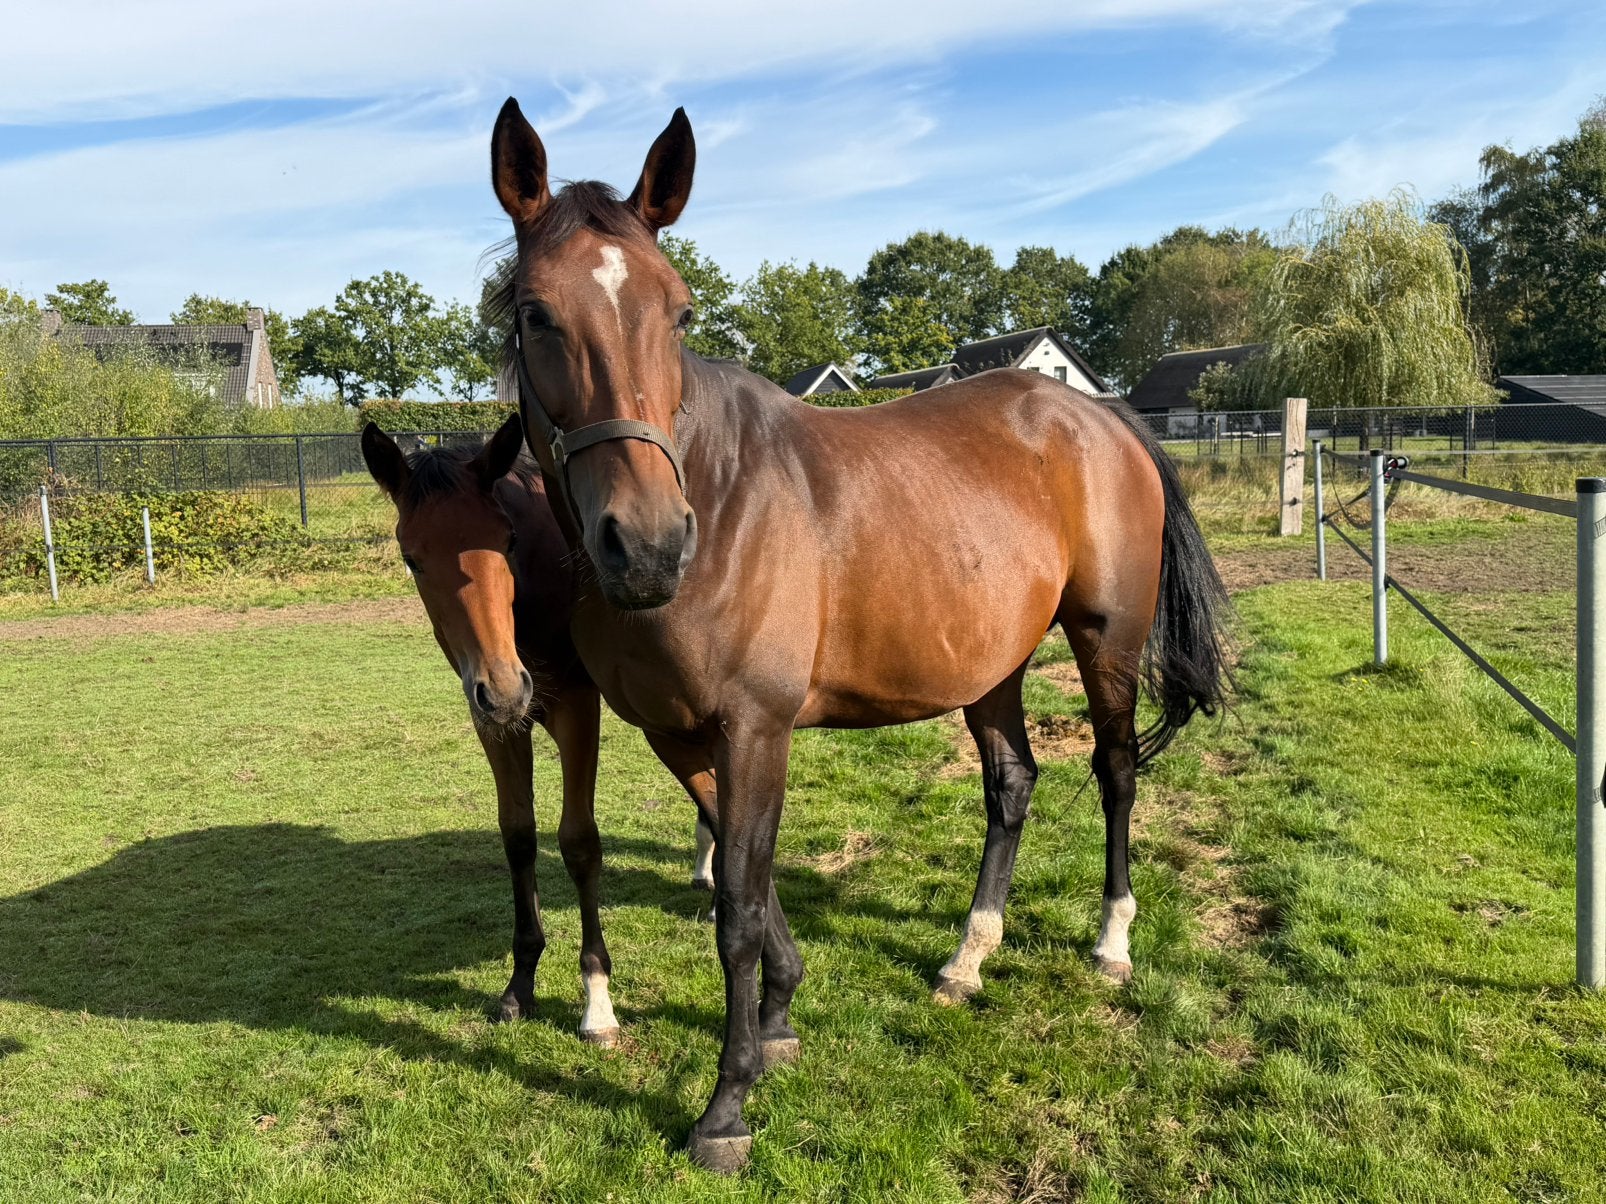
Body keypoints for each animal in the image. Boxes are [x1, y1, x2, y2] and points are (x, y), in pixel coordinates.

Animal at [359, 420, 719, 1045]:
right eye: (411, 557)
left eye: (506, 540)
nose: (505, 687)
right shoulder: (495, 723)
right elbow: (519, 837)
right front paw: (519, 982)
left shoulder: (577, 708)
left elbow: (578, 841)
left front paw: (597, 1001)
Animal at [486, 98, 1231, 1172]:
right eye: (537, 313)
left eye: (680, 311)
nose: (650, 544)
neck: (722, 491)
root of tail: (1100, 417)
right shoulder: (679, 735)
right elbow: (744, 881)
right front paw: (782, 1016)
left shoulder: (756, 729)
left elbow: (737, 909)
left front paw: (727, 1104)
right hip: (991, 665)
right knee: (1013, 786)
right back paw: (969, 956)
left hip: (1107, 641)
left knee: (1118, 772)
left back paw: (1111, 940)